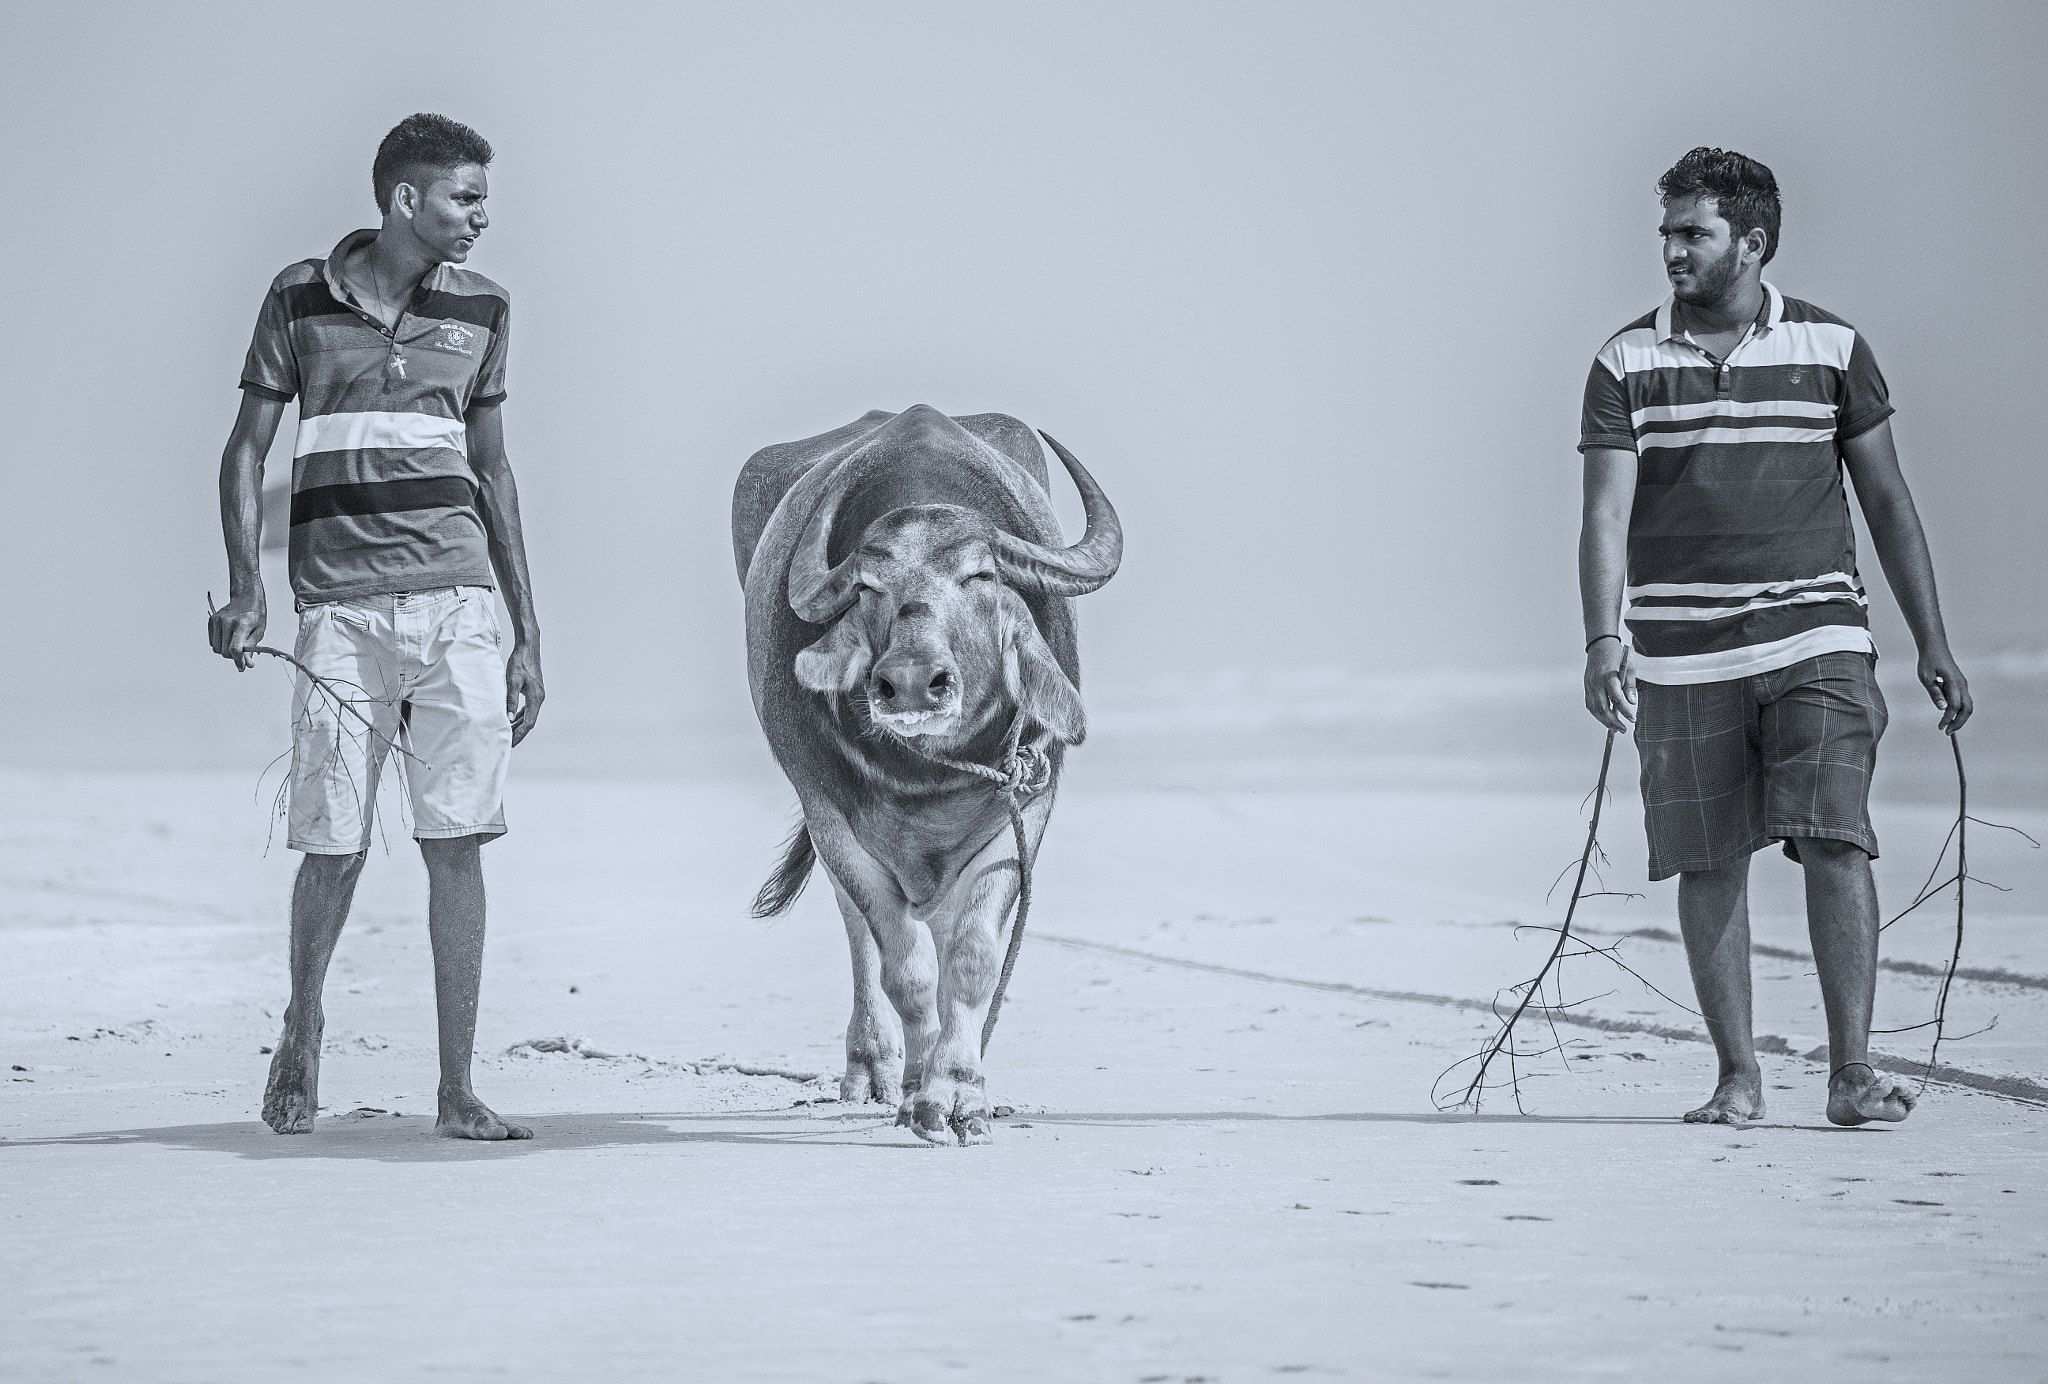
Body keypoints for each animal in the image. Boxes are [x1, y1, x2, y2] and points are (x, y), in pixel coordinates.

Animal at [733, 405, 1123, 1145]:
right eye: (868, 587)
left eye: (980, 577)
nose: (912, 682)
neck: (926, 775)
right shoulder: (830, 816)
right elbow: (905, 967)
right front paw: (921, 1090)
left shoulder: (1025, 807)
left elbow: (971, 959)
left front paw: (960, 1092)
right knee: (859, 934)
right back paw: (878, 1071)